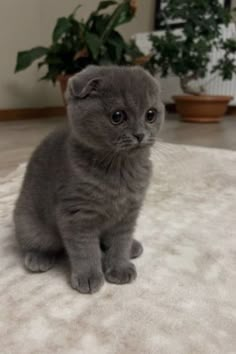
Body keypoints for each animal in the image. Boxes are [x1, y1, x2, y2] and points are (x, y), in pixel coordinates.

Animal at [13, 65, 165, 294]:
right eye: (117, 116)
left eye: (150, 114)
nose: (139, 135)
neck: (119, 171)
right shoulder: (77, 214)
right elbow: (85, 249)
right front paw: (88, 276)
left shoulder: (128, 213)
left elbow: (120, 242)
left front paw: (119, 266)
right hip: (30, 223)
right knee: (36, 242)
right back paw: (38, 258)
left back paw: (132, 246)